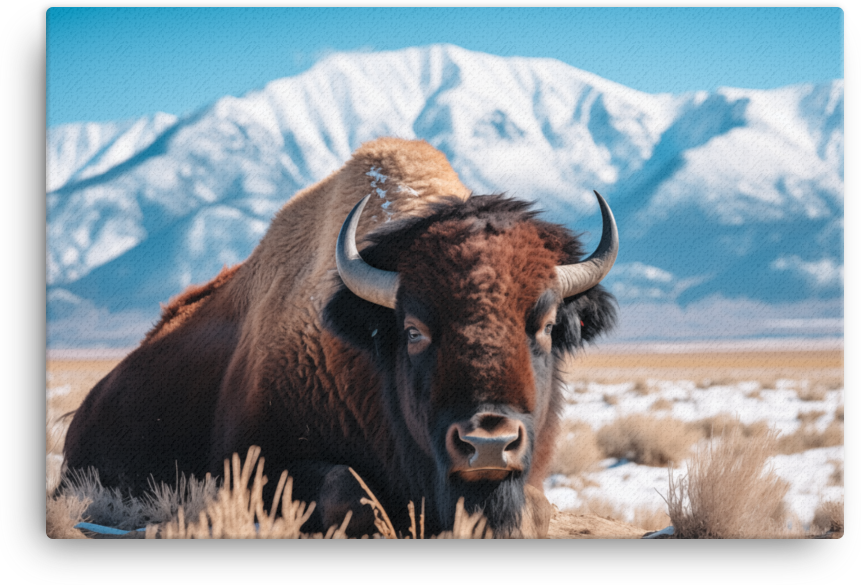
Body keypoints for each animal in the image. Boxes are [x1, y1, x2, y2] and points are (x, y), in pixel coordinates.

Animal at [63, 138, 618, 538]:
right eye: (413, 331)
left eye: (545, 326)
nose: (488, 443)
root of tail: (85, 409)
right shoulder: (255, 464)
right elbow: (350, 491)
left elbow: (537, 508)